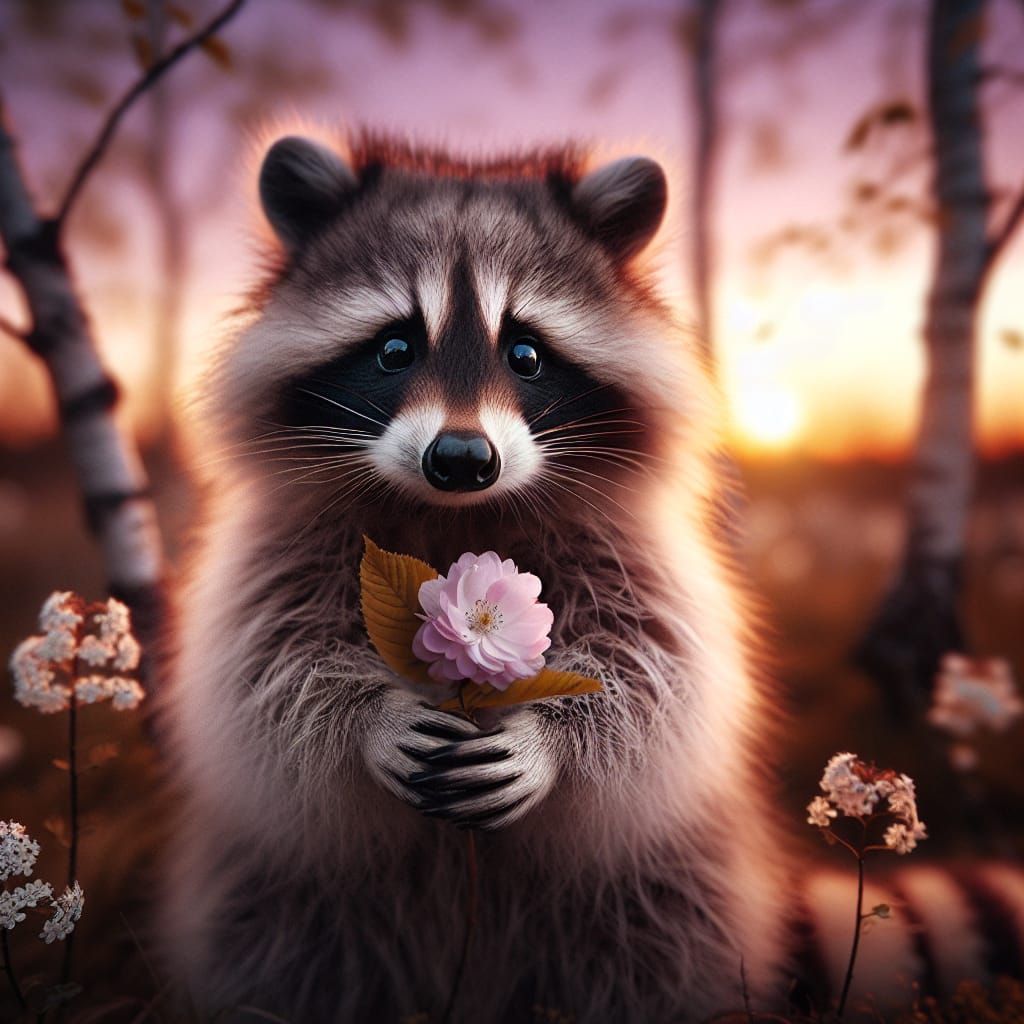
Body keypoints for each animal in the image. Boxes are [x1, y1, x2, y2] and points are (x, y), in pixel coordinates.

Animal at [159, 134, 1019, 1022]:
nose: (461, 459)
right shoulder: (280, 548)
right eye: (394, 349)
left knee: (643, 949)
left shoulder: (641, 555)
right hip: (290, 897)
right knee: (292, 943)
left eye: (526, 354)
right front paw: (371, 715)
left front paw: (550, 740)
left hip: (661, 893)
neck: (458, 515)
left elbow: (656, 676)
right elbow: (265, 669)